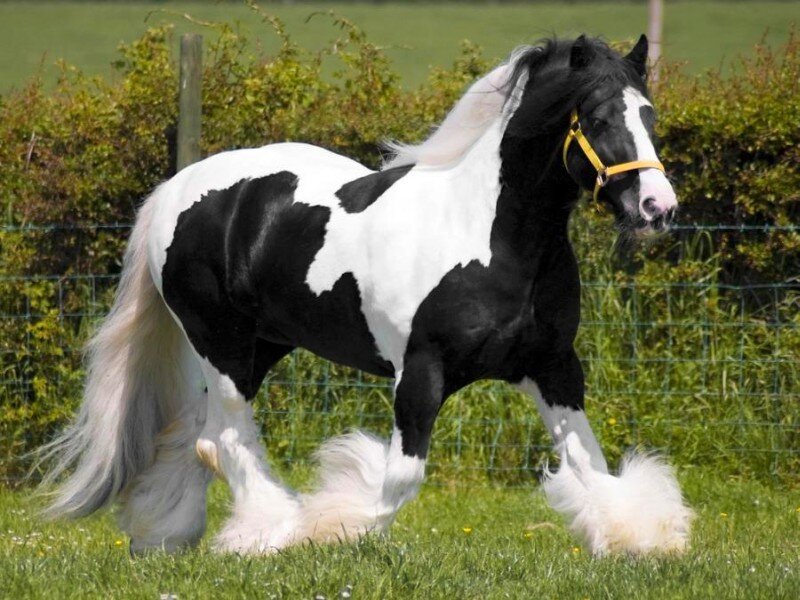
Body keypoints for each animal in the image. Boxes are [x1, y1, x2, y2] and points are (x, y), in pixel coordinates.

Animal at [40, 34, 692, 557]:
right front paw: (327, 528)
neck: (492, 239)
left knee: (195, 437)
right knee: (224, 439)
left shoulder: (552, 366)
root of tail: (176, 189)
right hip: (219, 344)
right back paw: (265, 533)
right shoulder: (420, 372)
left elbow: (592, 465)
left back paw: (165, 534)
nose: (657, 208)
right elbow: (400, 479)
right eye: (601, 119)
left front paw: (639, 537)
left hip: (261, 347)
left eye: (650, 116)